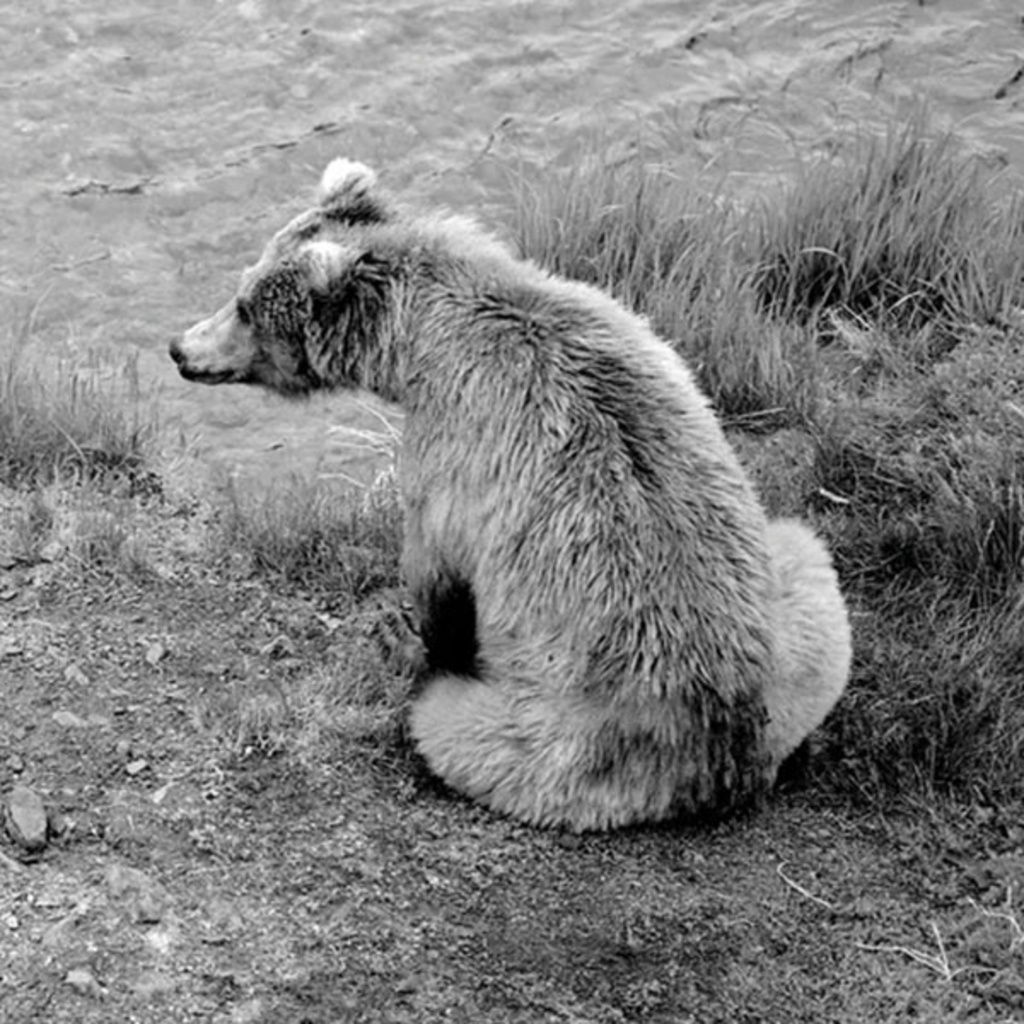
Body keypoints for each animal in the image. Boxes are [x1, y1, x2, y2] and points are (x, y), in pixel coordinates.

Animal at [170, 158, 851, 832]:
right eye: (243, 288)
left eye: (246, 305)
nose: (180, 348)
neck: (421, 341)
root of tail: (720, 753)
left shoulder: (455, 446)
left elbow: (437, 561)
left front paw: (409, 628)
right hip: (797, 627)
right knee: (803, 551)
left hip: (555, 746)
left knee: (452, 725)